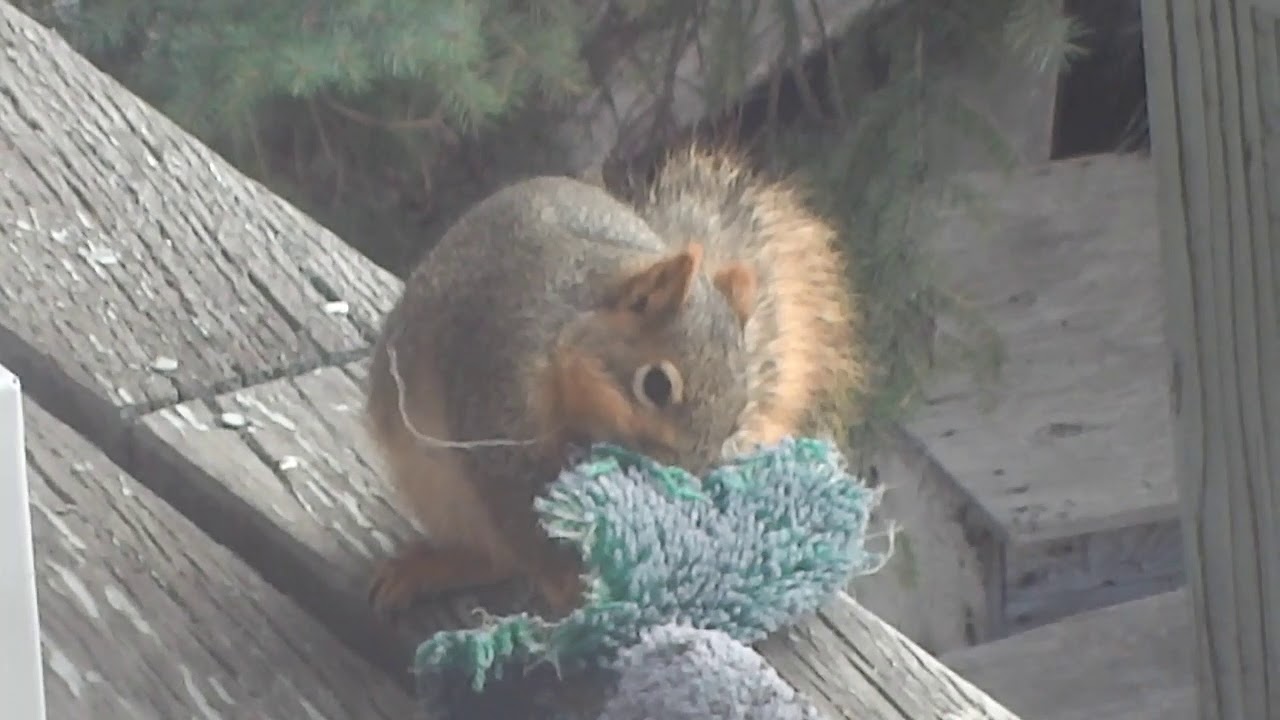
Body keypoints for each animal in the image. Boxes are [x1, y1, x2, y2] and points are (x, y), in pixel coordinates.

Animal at [363, 145, 863, 619]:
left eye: (738, 414)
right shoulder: (496, 390)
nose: (683, 480)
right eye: (656, 386)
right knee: (493, 550)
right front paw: (571, 583)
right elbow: (519, 508)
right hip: (434, 484)